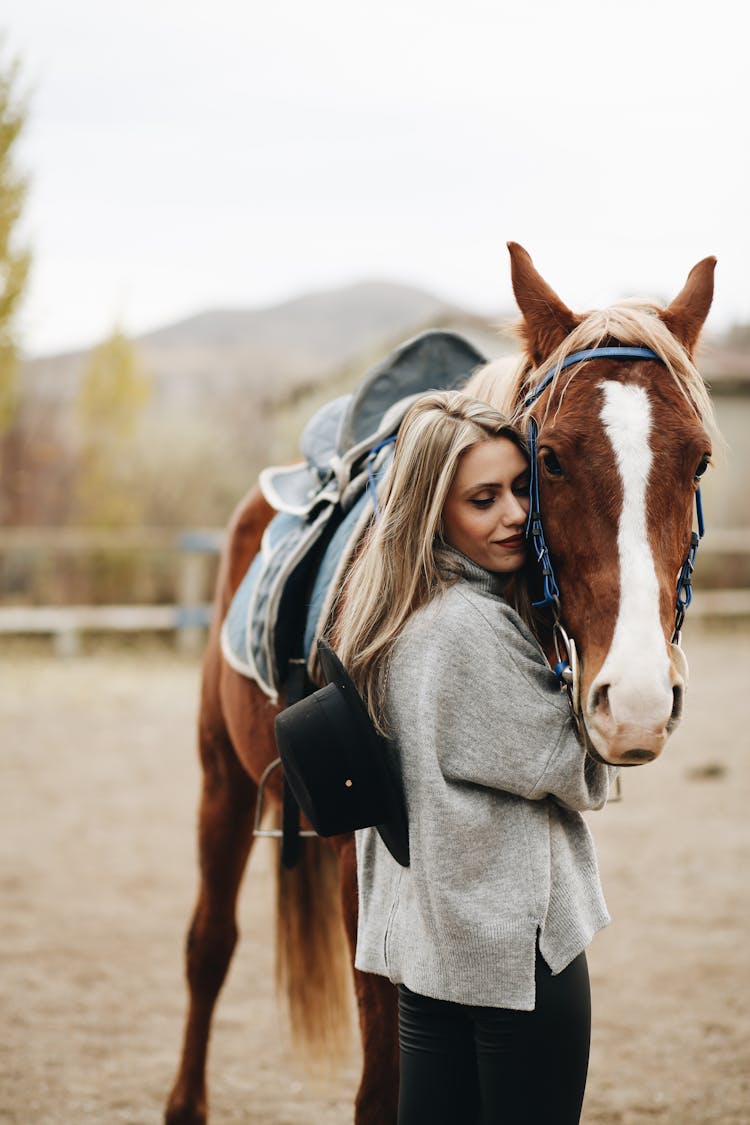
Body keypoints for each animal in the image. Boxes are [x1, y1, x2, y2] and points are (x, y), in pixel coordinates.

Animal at [167, 246, 719, 1125]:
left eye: (698, 458)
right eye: (549, 459)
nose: (635, 702)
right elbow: (380, 1086)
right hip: (221, 776)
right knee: (208, 946)